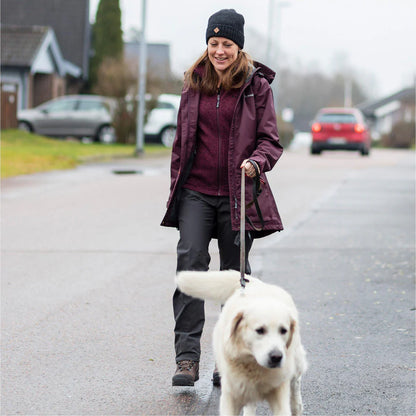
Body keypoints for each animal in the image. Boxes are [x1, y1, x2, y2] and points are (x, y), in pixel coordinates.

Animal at [175, 270, 306, 416]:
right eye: (260, 330)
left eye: (283, 330)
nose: (276, 357)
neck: (254, 366)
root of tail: (257, 284)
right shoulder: (232, 395)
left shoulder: (279, 391)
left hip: (295, 366)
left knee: (295, 387)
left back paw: (297, 407)